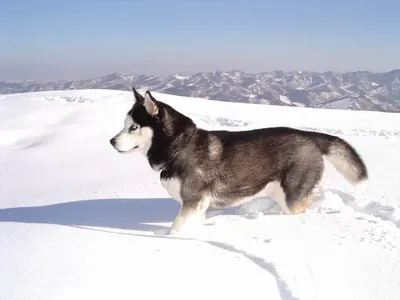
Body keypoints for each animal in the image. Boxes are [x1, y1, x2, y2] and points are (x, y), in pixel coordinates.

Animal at [110, 88, 368, 236]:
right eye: (124, 125)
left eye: (134, 127)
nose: (112, 141)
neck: (179, 148)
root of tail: (309, 135)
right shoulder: (199, 207)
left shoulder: (193, 202)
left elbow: (175, 230)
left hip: (292, 196)